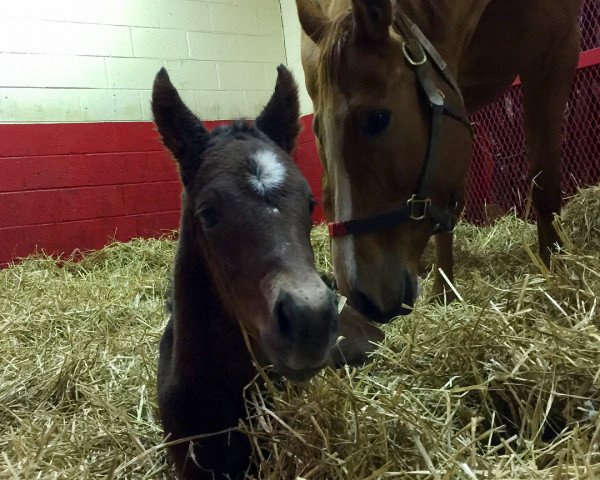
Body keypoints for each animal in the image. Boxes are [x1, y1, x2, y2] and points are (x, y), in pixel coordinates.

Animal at [296, 0, 580, 322]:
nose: (361, 297)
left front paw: (553, 270)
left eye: (378, 118)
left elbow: (544, 183)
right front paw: (443, 290)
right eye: (316, 130)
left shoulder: (556, 52)